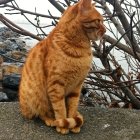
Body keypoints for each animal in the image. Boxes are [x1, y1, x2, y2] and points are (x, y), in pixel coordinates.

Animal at [19, 0, 105, 135]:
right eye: (98, 21)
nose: (105, 31)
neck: (81, 48)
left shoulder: (77, 86)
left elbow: (72, 106)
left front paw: (71, 121)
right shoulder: (56, 85)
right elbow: (60, 108)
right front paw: (62, 124)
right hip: (34, 98)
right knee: (40, 112)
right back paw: (51, 119)